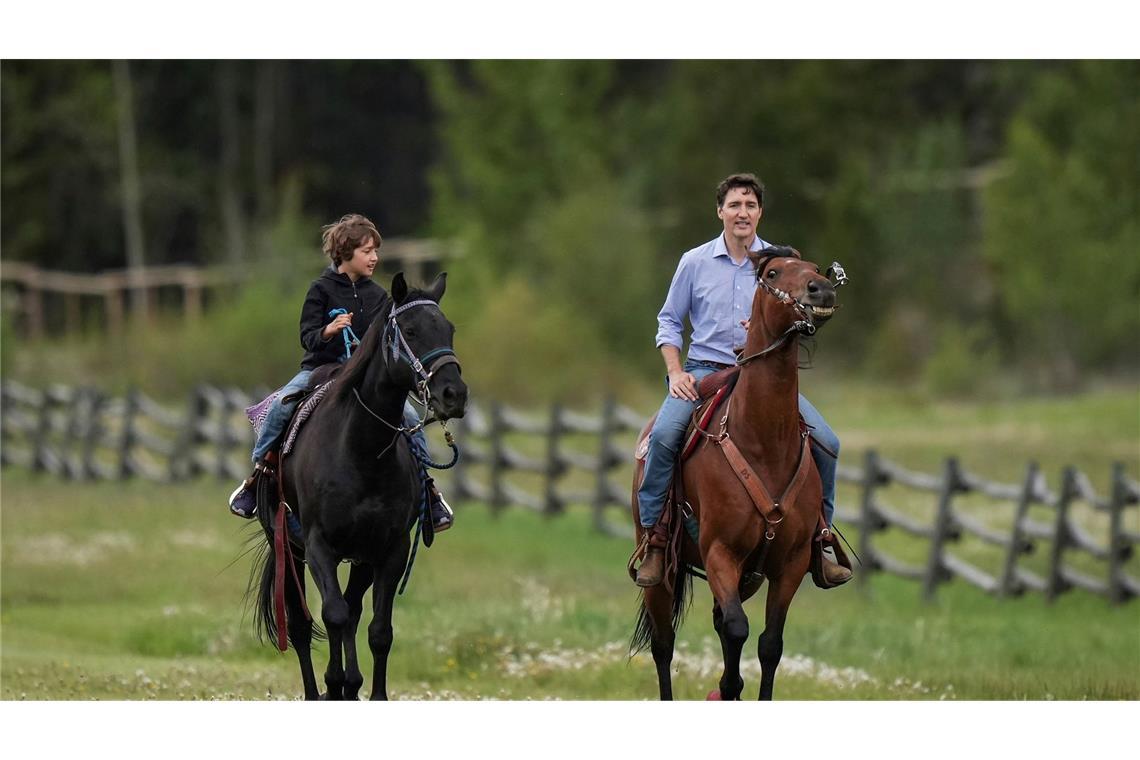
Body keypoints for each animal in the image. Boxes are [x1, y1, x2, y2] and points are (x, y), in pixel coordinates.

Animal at [254, 270, 467, 697]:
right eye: (411, 330)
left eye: (449, 329)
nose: (454, 394)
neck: (361, 449)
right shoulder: (319, 546)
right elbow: (332, 615)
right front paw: (332, 685)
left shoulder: (389, 549)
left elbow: (377, 631)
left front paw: (366, 691)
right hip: (287, 545)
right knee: (301, 624)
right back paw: (319, 690)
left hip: (361, 558)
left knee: (352, 611)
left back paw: (351, 685)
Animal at [633, 248, 839, 701]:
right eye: (773, 273)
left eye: (816, 269)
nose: (822, 289)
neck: (763, 443)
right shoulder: (720, 553)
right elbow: (736, 628)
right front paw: (728, 686)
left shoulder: (790, 563)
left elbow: (769, 644)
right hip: (662, 575)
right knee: (663, 645)